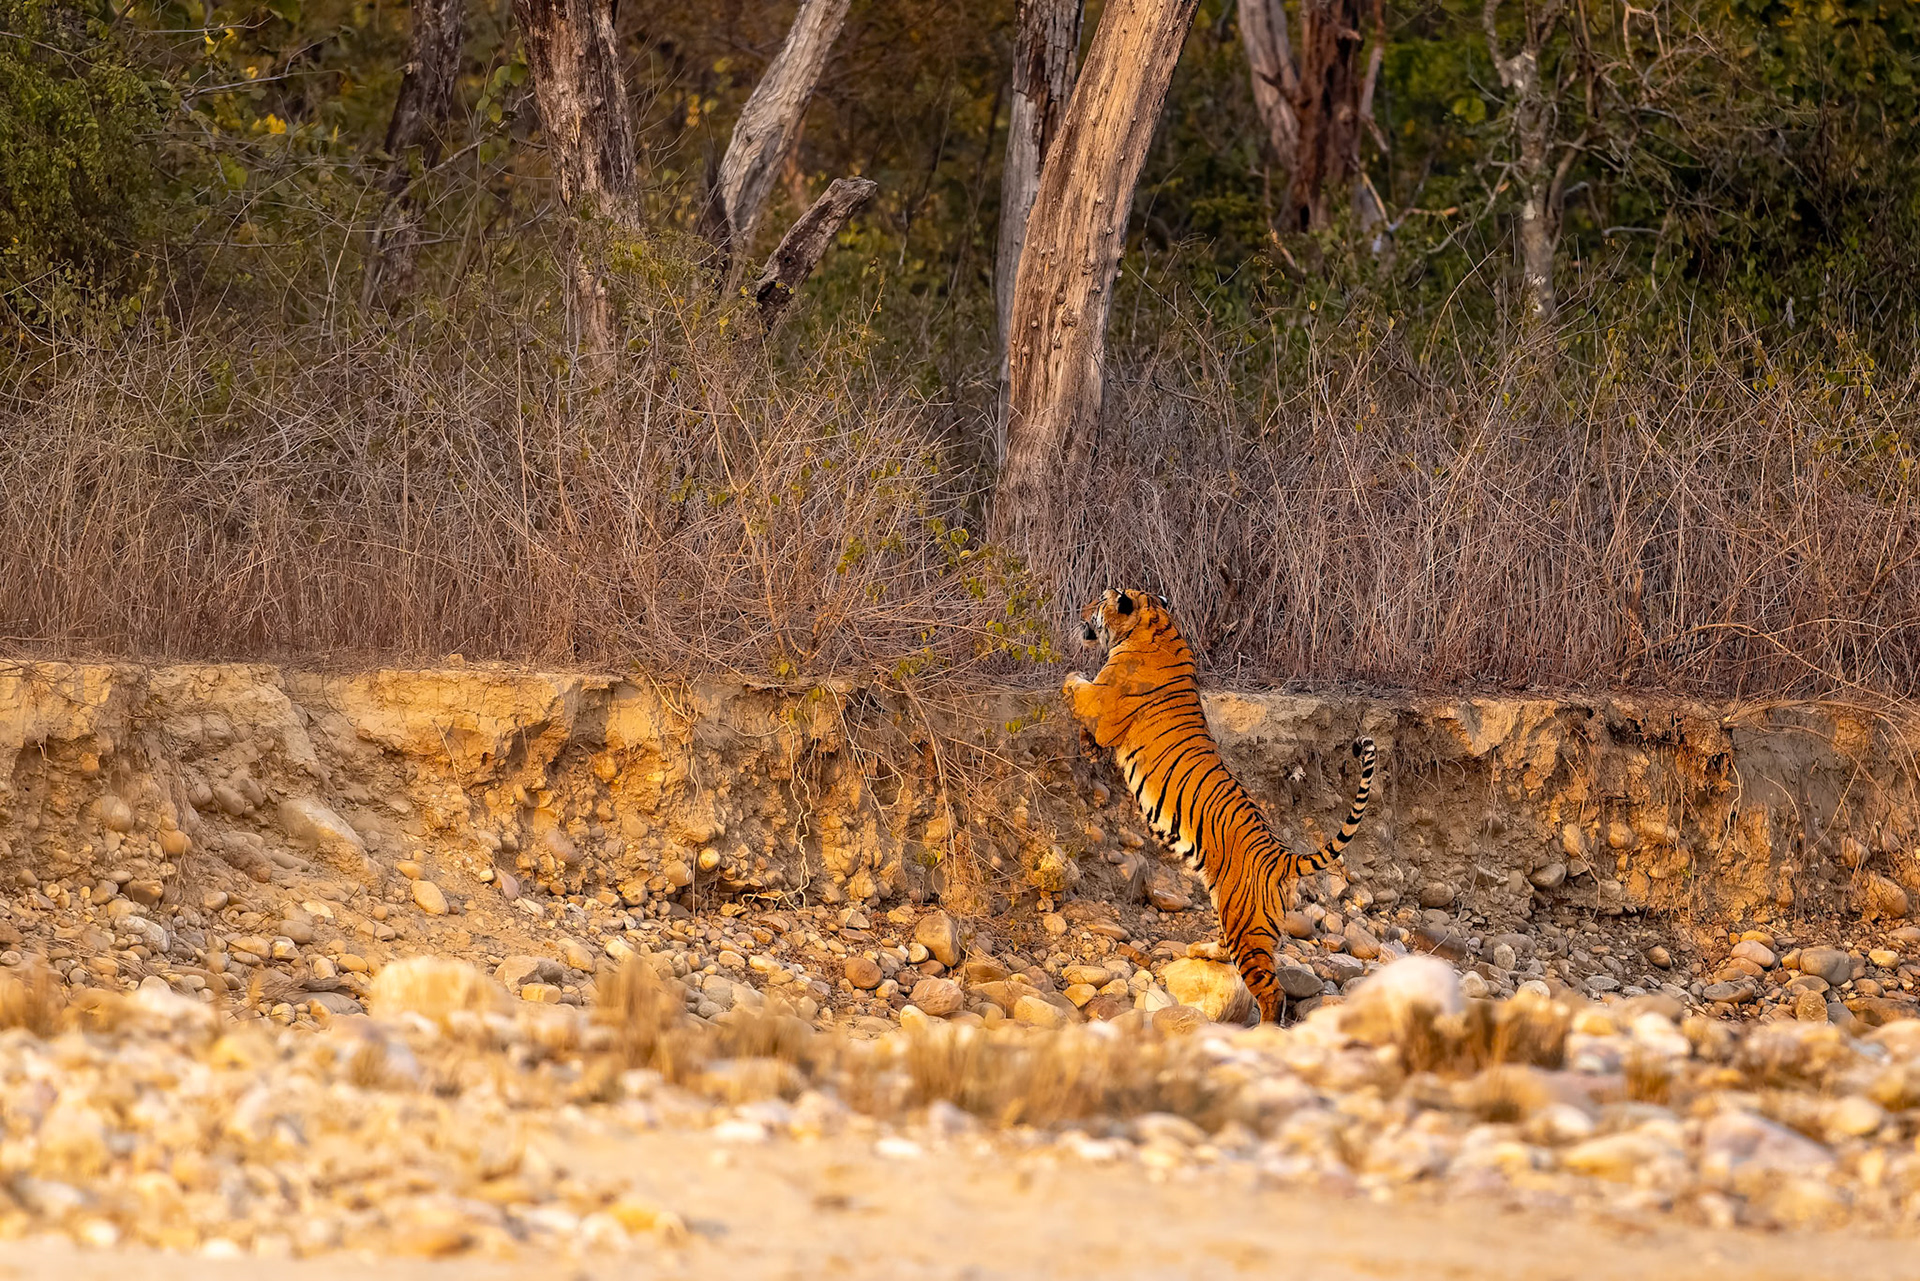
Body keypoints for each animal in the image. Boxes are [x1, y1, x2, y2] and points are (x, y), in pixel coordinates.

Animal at [1062, 587, 1377, 1023]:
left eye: (1098, 600)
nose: (1078, 611)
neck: (1154, 623)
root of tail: (1281, 854)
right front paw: (1088, 749)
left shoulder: (1104, 706)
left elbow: (1076, 685)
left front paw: (1069, 680)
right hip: (1236, 914)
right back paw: (1202, 950)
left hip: (1245, 924)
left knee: (1270, 992)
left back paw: (1260, 1028)